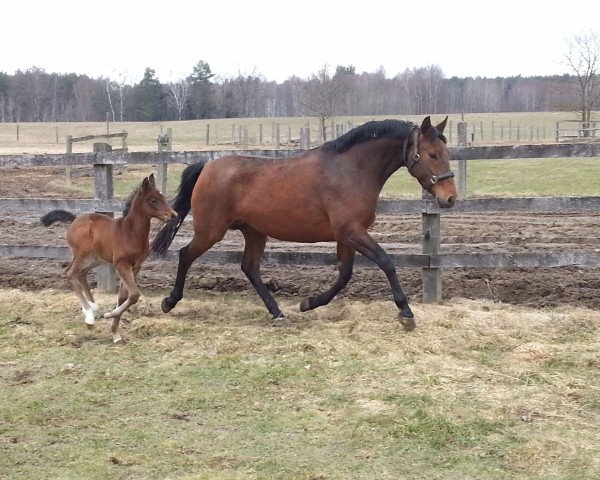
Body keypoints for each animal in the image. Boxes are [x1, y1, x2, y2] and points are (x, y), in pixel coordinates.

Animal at [41, 174, 177, 344]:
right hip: (82, 255)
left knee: (81, 274)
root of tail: (75, 220)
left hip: (96, 259)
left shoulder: (136, 266)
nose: (173, 216)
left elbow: (124, 296)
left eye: (163, 197)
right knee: (70, 273)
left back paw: (93, 308)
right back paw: (89, 316)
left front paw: (115, 333)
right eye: (153, 200)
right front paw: (109, 315)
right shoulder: (121, 265)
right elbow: (134, 294)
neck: (130, 233)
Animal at [152, 116, 458, 330]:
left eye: (447, 153)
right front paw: (406, 313)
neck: (351, 170)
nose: (450, 198)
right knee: (185, 255)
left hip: (255, 232)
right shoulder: (351, 231)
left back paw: (278, 314)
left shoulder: (346, 235)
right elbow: (386, 262)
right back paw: (169, 301)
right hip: (211, 231)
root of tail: (207, 166)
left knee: (249, 268)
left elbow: (344, 275)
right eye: (432, 155)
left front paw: (309, 303)